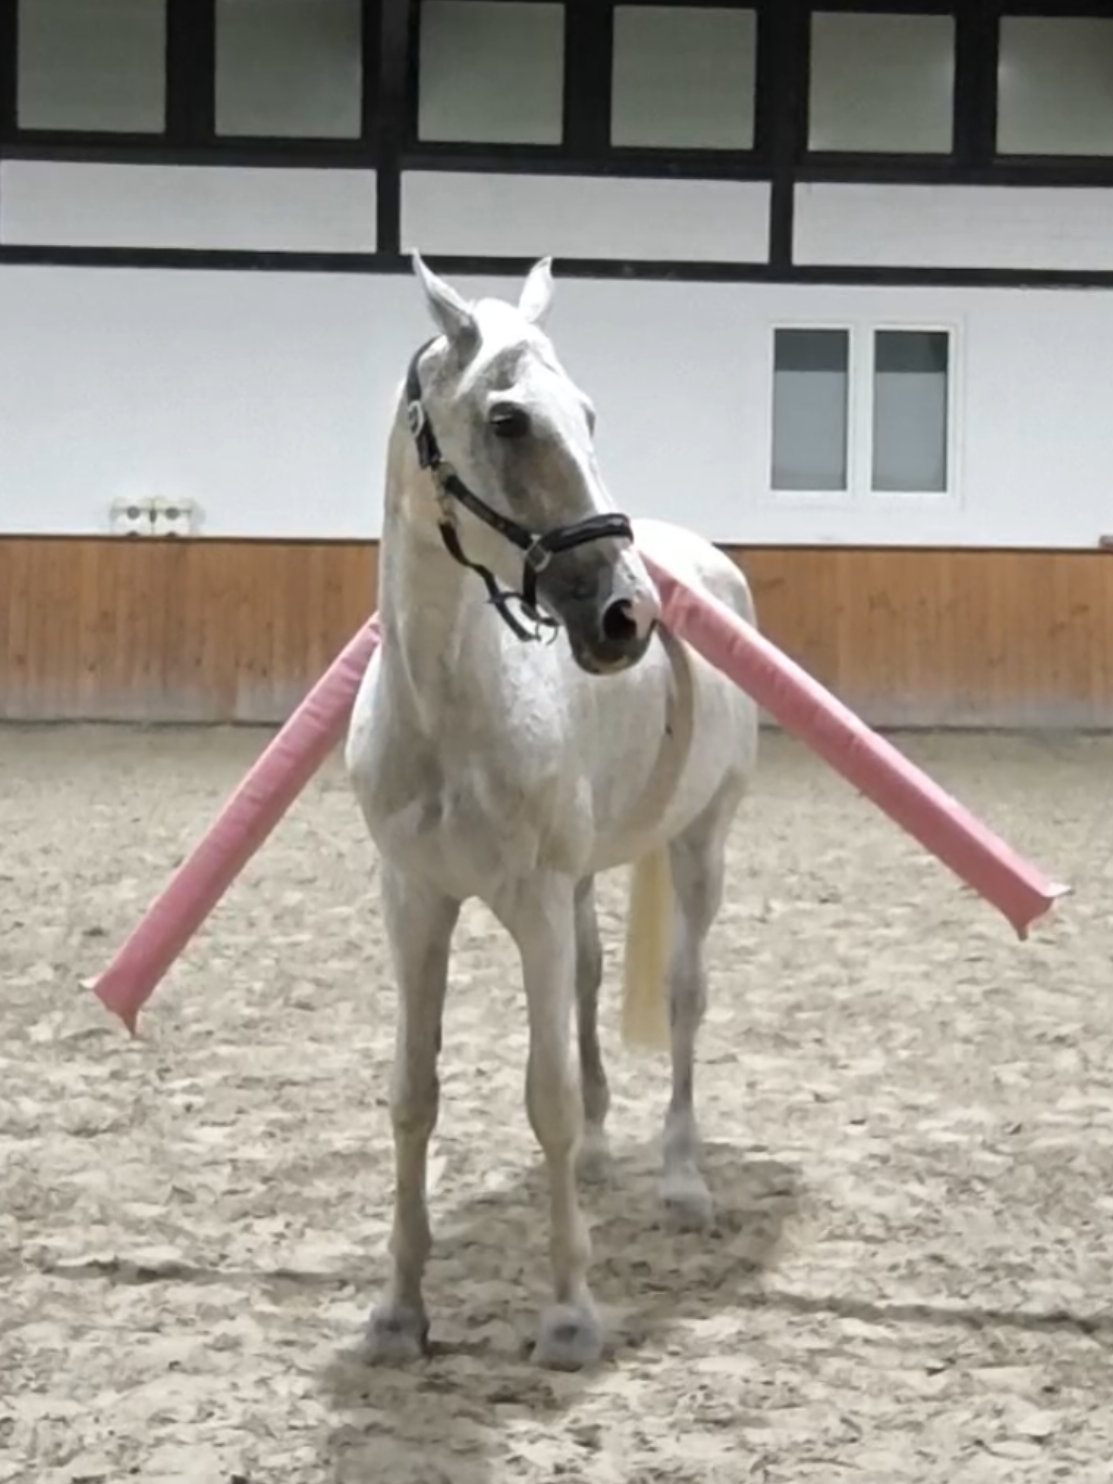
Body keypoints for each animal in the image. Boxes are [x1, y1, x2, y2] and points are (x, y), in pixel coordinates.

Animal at [345, 252, 759, 1370]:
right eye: (508, 419)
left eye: (588, 414)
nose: (625, 615)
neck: (451, 711)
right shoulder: (415, 900)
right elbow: (413, 1092)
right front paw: (399, 1311)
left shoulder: (529, 899)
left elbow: (548, 1096)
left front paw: (571, 1313)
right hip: (579, 881)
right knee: (589, 982)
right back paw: (616, 1156)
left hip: (700, 845)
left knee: (685, 998)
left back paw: (681, 1180)